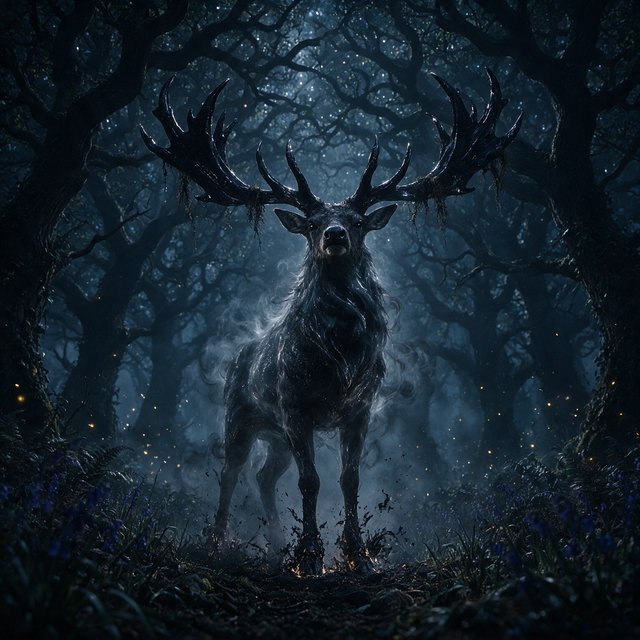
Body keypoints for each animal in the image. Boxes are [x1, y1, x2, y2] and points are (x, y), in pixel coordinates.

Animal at [141, 69, 521, 575]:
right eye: (312, 223)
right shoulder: (295, 406)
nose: (335, 234)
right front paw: (310, 556)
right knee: (230, 471)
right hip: (241, 414)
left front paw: (357, 554)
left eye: (357, 220)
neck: (337, 360)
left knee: (264, 475)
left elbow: (349, 478)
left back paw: (275, 543)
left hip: (277, 436)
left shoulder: (359, 409)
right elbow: (310, 482)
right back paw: (219, 542)